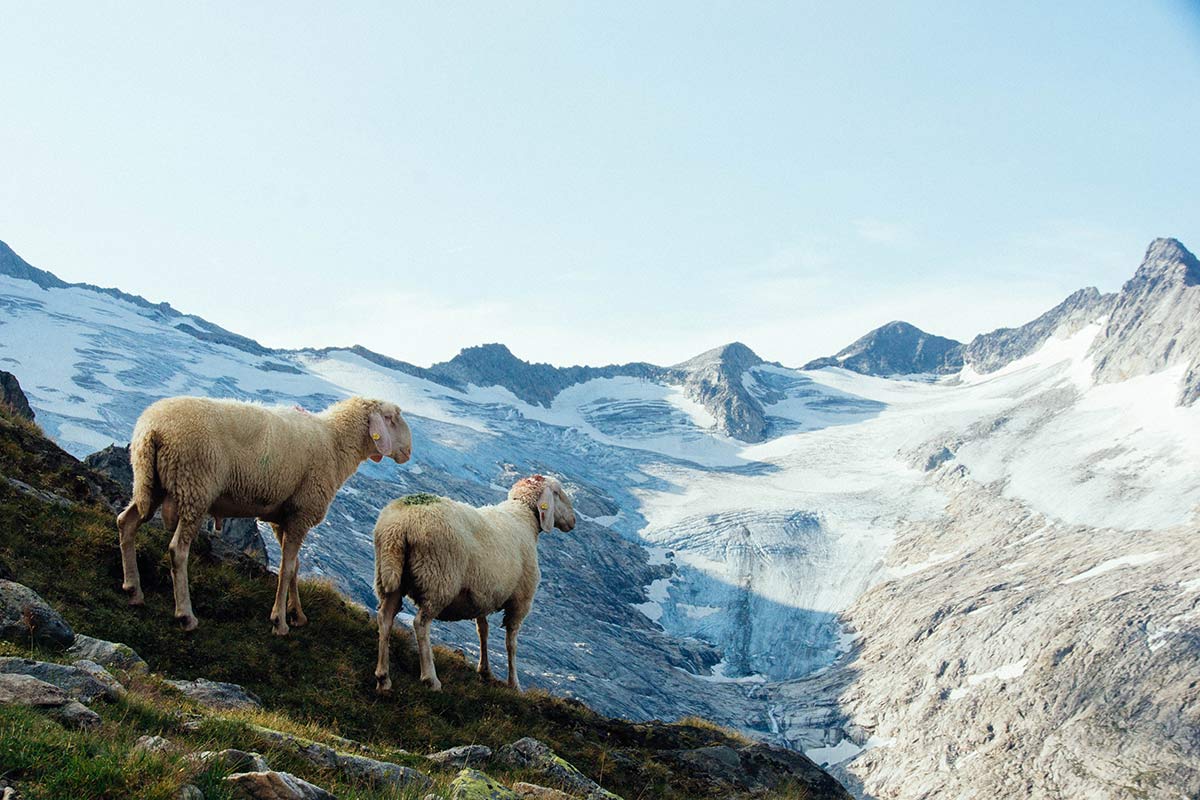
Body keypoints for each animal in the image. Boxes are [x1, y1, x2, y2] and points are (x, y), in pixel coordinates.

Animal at [374, 472, 580, 690]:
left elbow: (483, 630)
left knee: (385, 617)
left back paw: (383, 678)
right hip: (438, 580)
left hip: (391, 574)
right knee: (420, 624)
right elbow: (511, 643)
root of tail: (400, 525)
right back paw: (430, 678)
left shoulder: (482, 594)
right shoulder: (520, 600)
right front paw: (514, 684)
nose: (573, 520)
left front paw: (485, 671)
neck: (523, 515)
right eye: (558, 492)